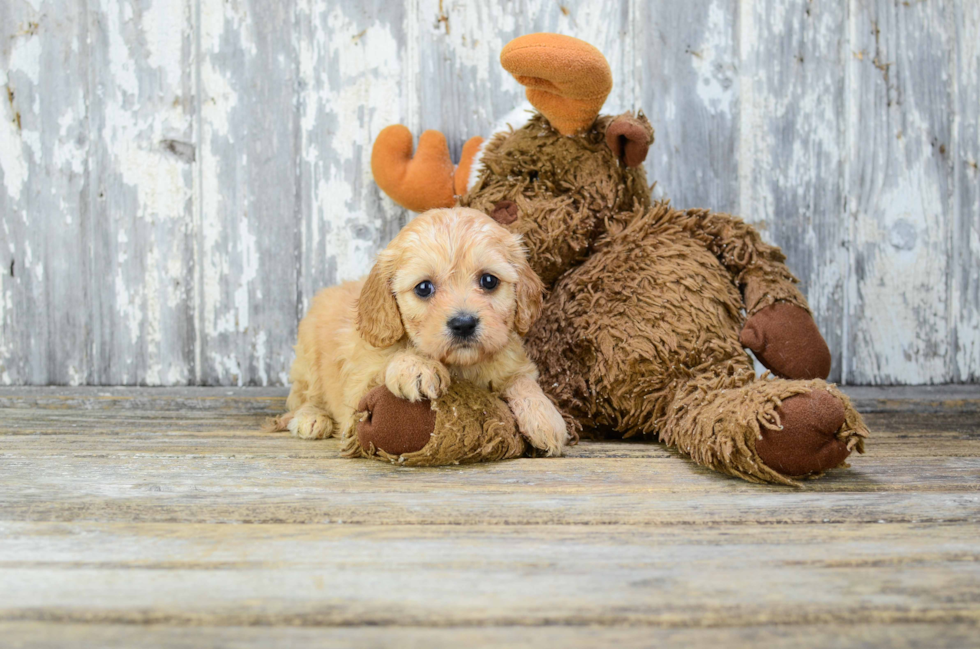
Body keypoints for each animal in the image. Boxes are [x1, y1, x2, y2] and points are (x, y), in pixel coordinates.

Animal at [272, 208, 572, 456]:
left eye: (489, 280)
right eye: (424, 288)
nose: (463, 323)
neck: (459, 365)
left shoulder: (513, 364)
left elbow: (523, 381)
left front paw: (545, 417)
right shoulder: (357, 390)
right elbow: (390, 362)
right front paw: (415, 365)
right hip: (308, 361)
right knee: (306, 397)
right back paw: (311, 418)